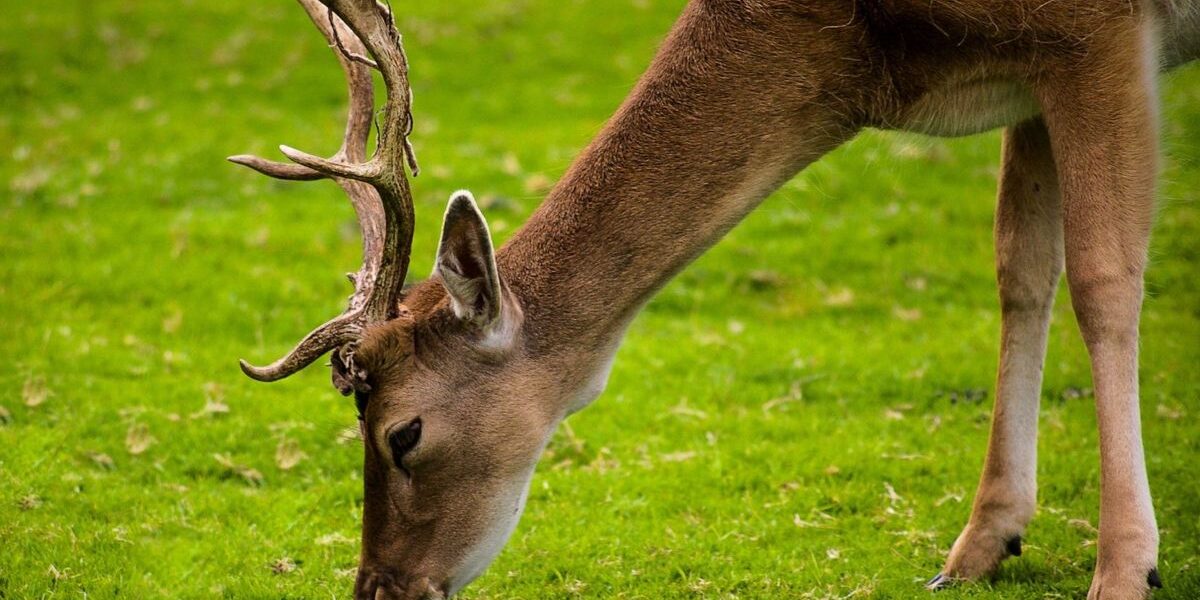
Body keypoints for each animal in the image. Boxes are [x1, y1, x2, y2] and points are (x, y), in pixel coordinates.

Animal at [228, 0, 1198, 598]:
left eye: (403, 433)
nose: (379, 587)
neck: (869, 51)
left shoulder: (1097, 37)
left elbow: (1104, 280)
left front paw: (1125, 571)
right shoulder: (1028, 75)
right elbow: (1020, 270)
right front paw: (981, 547)